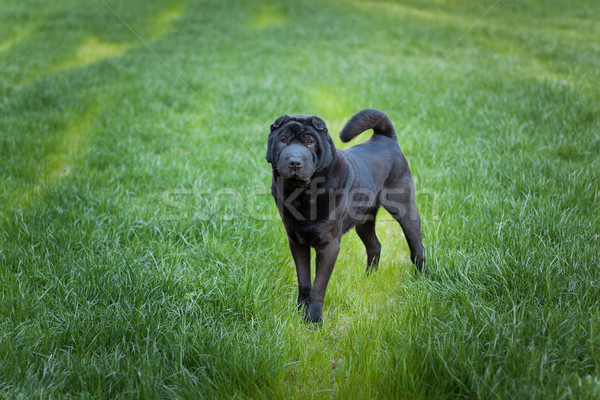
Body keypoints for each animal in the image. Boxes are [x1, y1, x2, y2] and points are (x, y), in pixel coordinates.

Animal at [264, 108, 424, 322]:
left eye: (310, 141)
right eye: (282, 139)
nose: (295, 162)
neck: (302, 194)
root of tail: (386, 138)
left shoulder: (329, 246)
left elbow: (318, 286)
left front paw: (313, 319)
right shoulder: (296, 241)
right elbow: (304, 280)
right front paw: (299, 310)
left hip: (406, 212)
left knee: (417, 247)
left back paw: (421, 282)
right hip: (363, 222)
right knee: (374, 246)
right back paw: (368, 280)